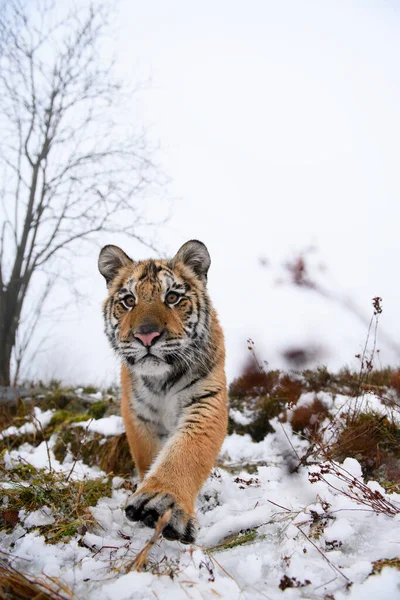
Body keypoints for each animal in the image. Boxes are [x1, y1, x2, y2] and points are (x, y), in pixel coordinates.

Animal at [98, 239, 227, 544]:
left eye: (172, 297)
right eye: (129, 300)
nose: (146, 335)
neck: (162, 380)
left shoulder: (206, 400)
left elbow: (187, 451)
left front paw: (162, 502)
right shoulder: (138, 413)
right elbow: (149, 456)